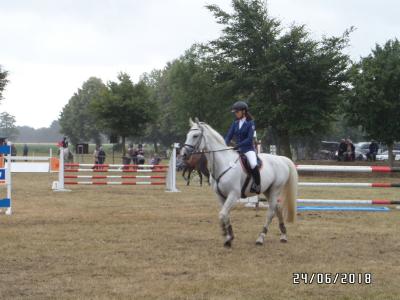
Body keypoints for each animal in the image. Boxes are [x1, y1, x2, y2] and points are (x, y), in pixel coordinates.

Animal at [181, 118, 296, 247]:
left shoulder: (233, 194)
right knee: (278, 208)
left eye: (195, 135)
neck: (223, 163)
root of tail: (281, 159)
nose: (184, 154)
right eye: (188, 135)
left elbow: (222, 214)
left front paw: (226, 235)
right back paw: (283, 235)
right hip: (267, 191)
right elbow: (226, 215)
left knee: (271, 212)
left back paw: (260, 238)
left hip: (275, 190)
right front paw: (229, 236)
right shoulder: (221, 196)